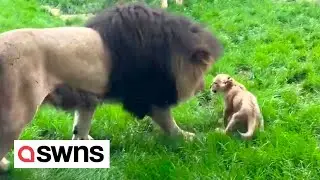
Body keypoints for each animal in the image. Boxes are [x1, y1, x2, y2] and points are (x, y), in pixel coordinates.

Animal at [0, 3, 222, 171]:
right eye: (203, 73)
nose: (203, 87)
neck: (172, 52)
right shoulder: (147, 95)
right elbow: (169, 121)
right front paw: (188, 138)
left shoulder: (88, 97)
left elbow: (81, 124)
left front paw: (85, 145)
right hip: (17, 112)